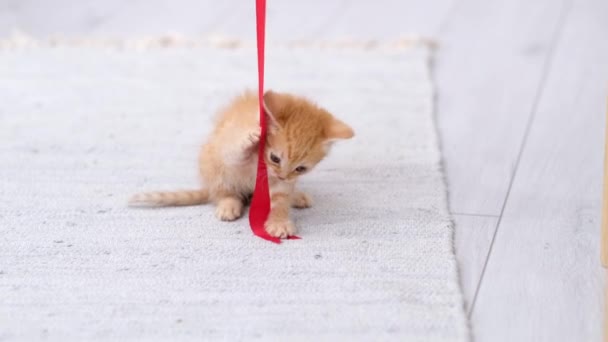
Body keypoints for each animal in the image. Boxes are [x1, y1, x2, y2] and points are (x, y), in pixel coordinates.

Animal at [131, 90, 354, 238]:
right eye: (275, 158)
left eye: (301, 168)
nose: (282, 175)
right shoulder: (228, 149)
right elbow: (234, 153)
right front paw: (249, 138)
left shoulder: (283, 183)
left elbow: (281, 199)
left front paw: (279, 221)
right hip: (212, 165)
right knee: (224, 191)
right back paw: (228, 204)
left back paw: (297, 196)